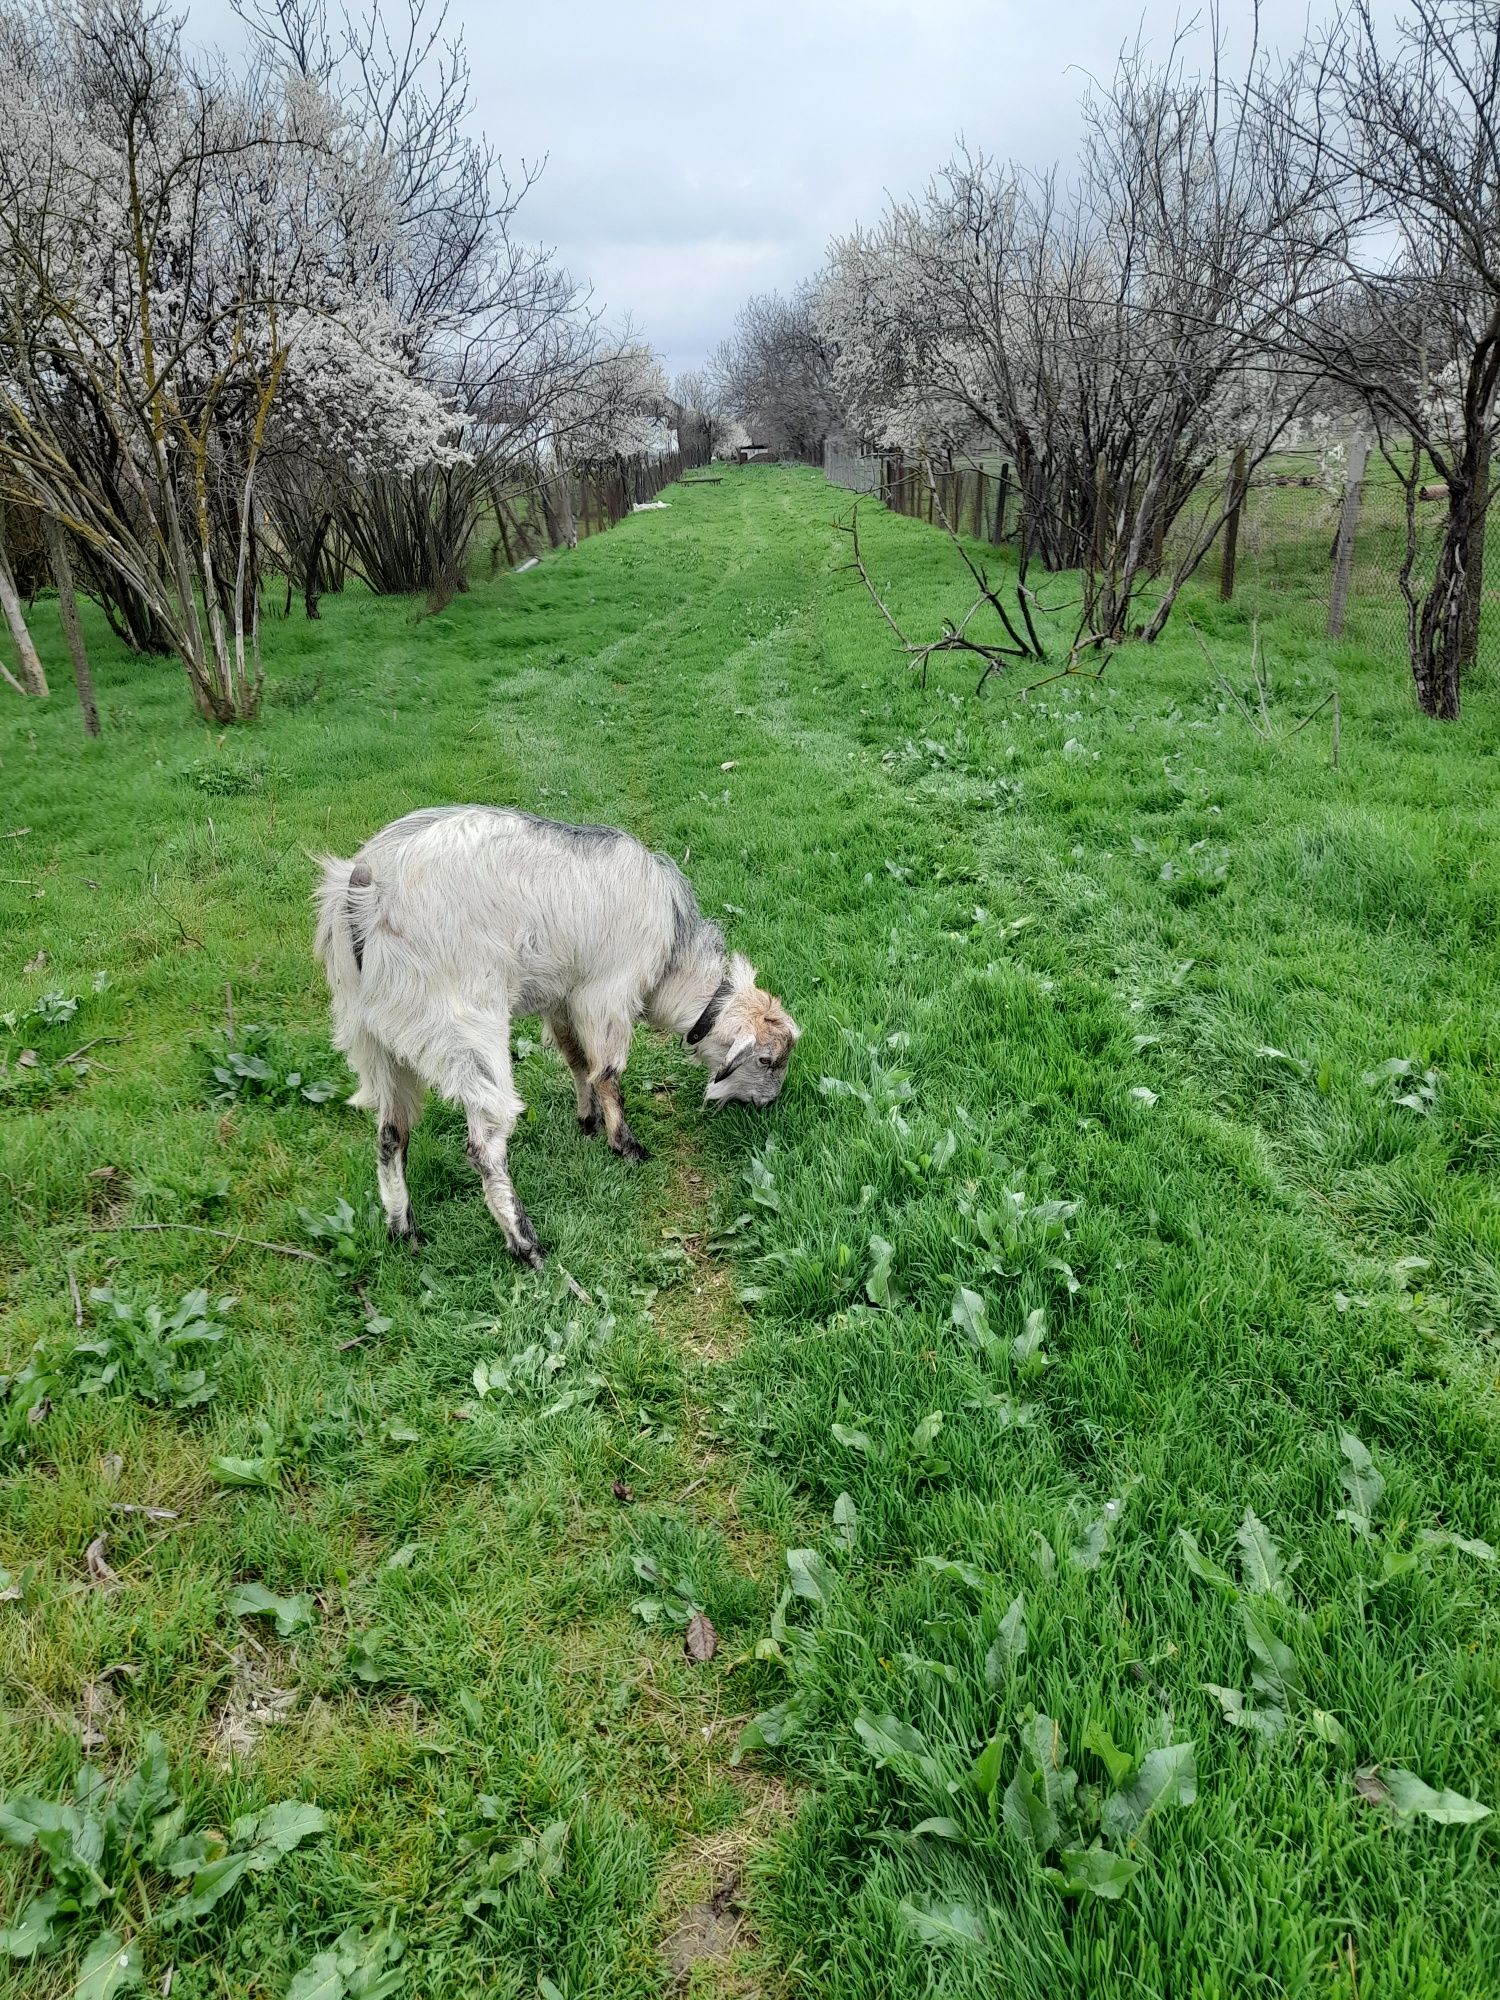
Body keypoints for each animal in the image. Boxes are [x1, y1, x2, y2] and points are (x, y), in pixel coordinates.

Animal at [312, 800, 804, 1256]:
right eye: (766, 1059)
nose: (768, 1104)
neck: (671, 961)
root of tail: (365, 890)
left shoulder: (563, 1001)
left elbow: (578, 1061)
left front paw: (587, 1120)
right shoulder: (607, 995)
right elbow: (608, 1074)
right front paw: (625, 1146)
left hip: (371, 1038)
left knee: (391, 1135)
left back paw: (403, 1230)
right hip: (464, 1029)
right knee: (483, 1146)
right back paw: (525, 1244)